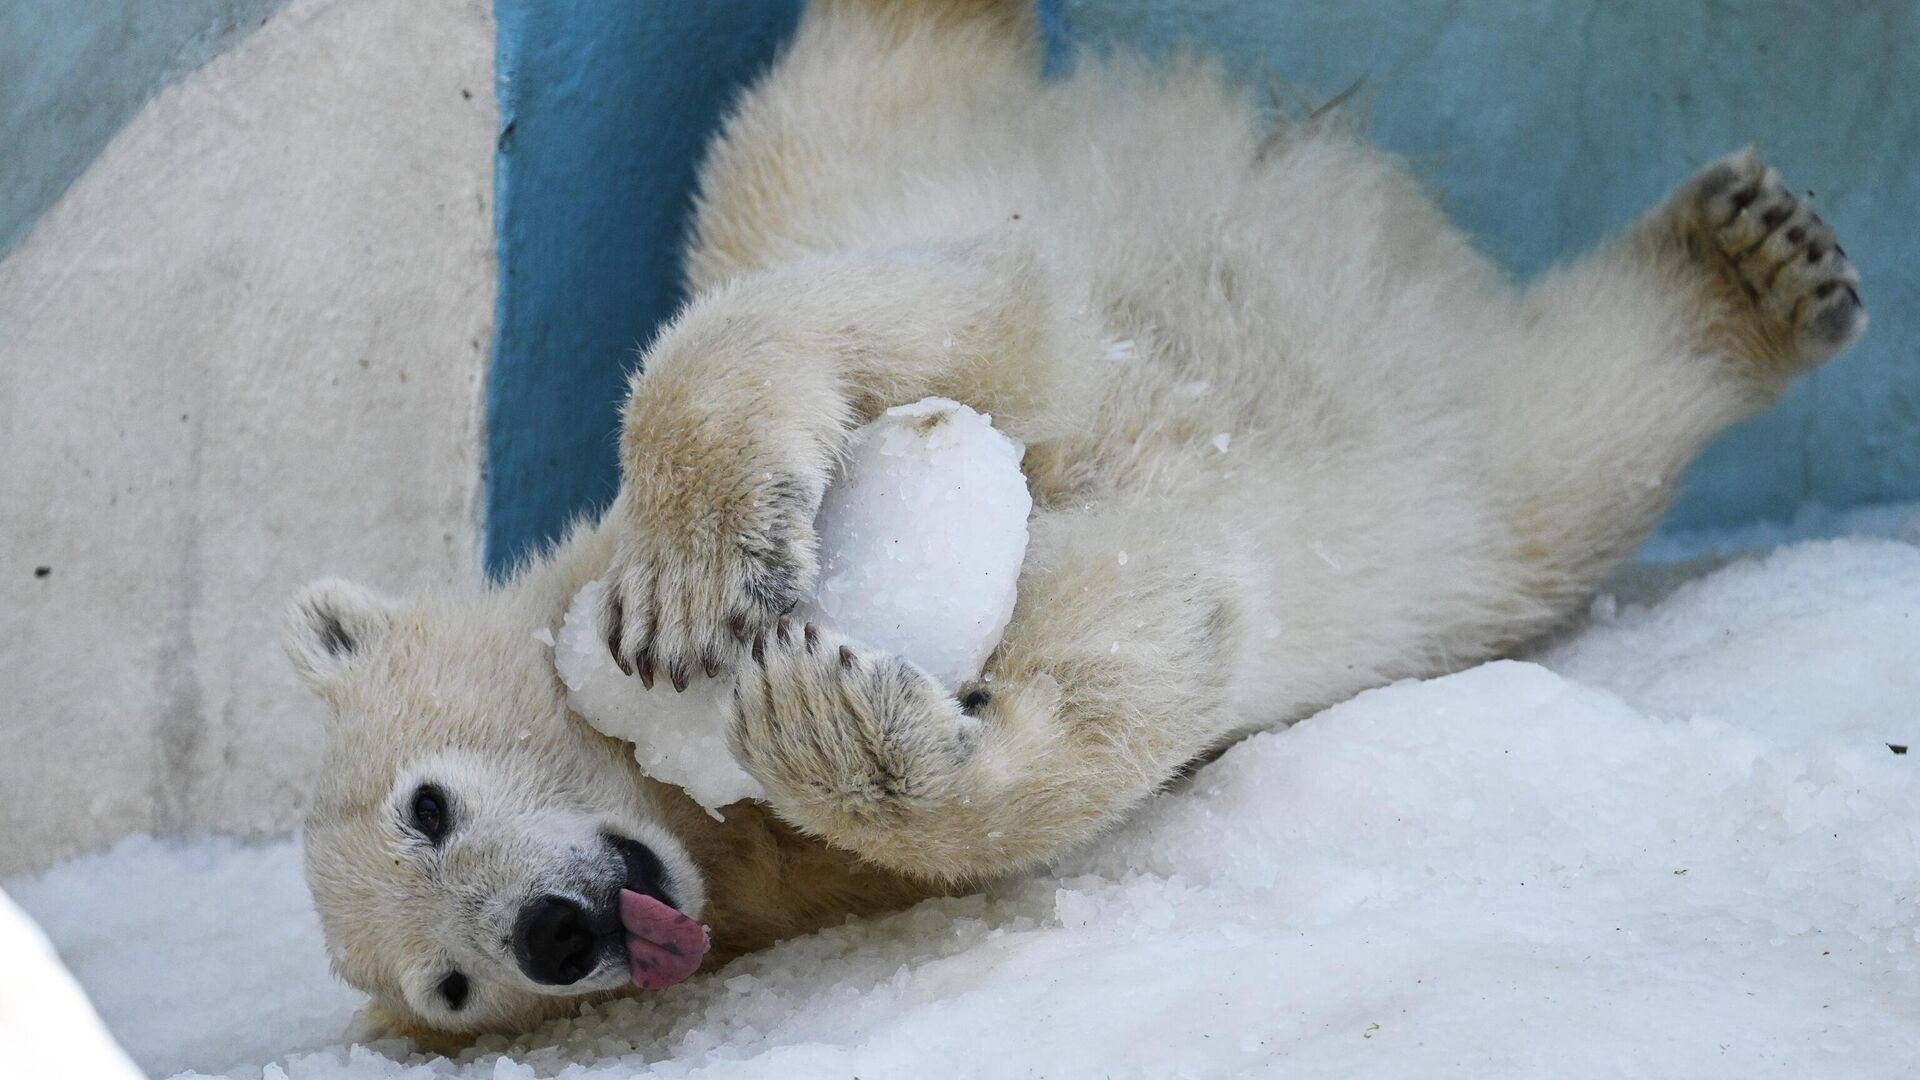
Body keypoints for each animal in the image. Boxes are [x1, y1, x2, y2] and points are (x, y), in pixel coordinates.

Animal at [280, 0, 1858, 1037]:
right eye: (452, 990)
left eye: (428, 804)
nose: (555, 933)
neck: (683, 798)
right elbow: (1152, 647)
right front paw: (840, 722)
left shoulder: (962, 301)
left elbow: (960, 322)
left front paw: (699, 590)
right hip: (1475, 497)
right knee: (1588, 418)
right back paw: (1746, 270)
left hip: (822, 162)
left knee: (858, 76)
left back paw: (1759, 257)